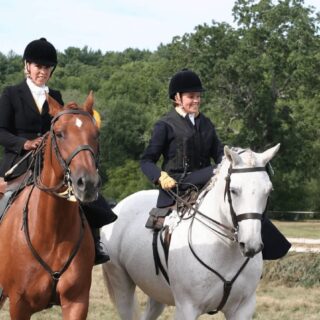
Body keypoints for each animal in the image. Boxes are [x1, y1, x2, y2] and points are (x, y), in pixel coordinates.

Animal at [0, 92, 100, 318]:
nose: (87, 183)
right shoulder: (19, 304)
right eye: (59, 134)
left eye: (96, 134)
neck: (53, 231)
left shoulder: (77, 302)